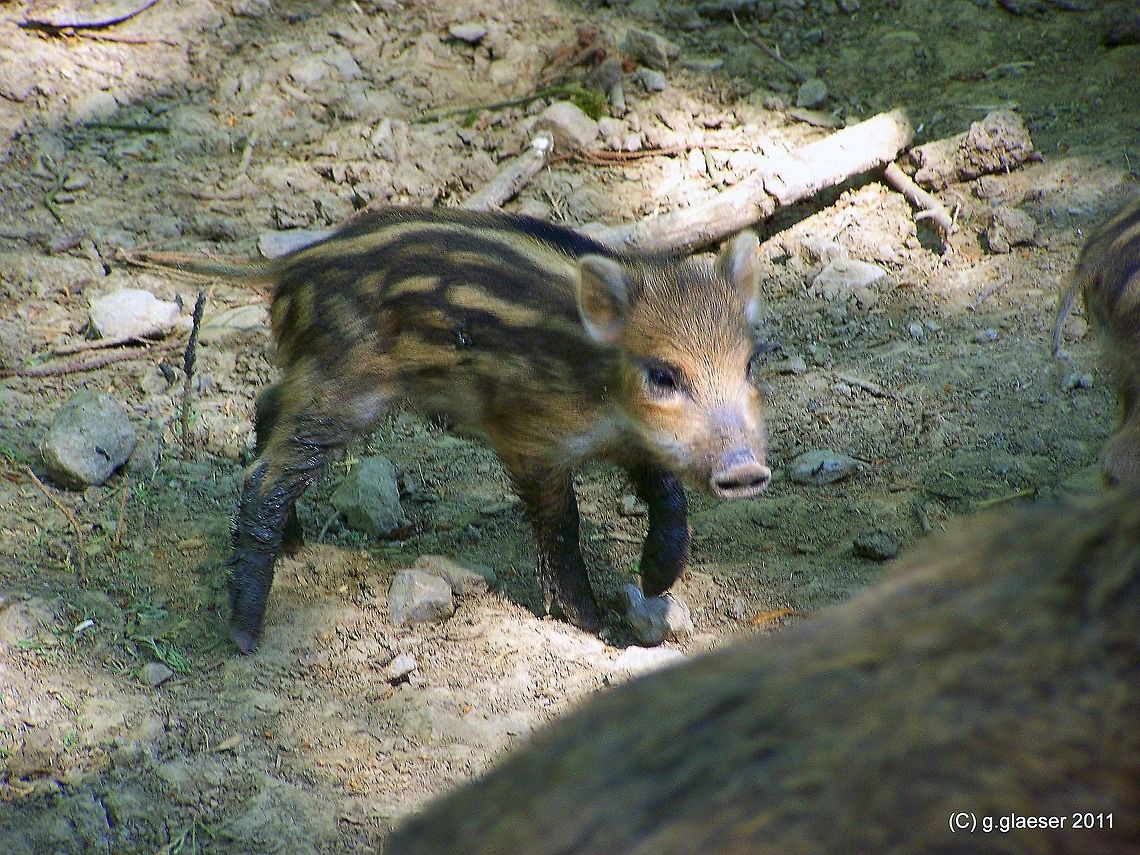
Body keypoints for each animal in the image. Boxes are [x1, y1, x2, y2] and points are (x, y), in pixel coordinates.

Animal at [173, 208, 770, 653]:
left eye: (747, 365)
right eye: (663, 375)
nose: (747, 470)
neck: (597, 381)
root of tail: (290, 268)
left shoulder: (632, 442)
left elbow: (667, 493)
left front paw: (654, 582)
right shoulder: (527, 439)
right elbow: (561, 524)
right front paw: (590, 622)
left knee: (265, 406)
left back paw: (295, 548)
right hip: (343, 388)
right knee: (264, 478)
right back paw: (246, 637)